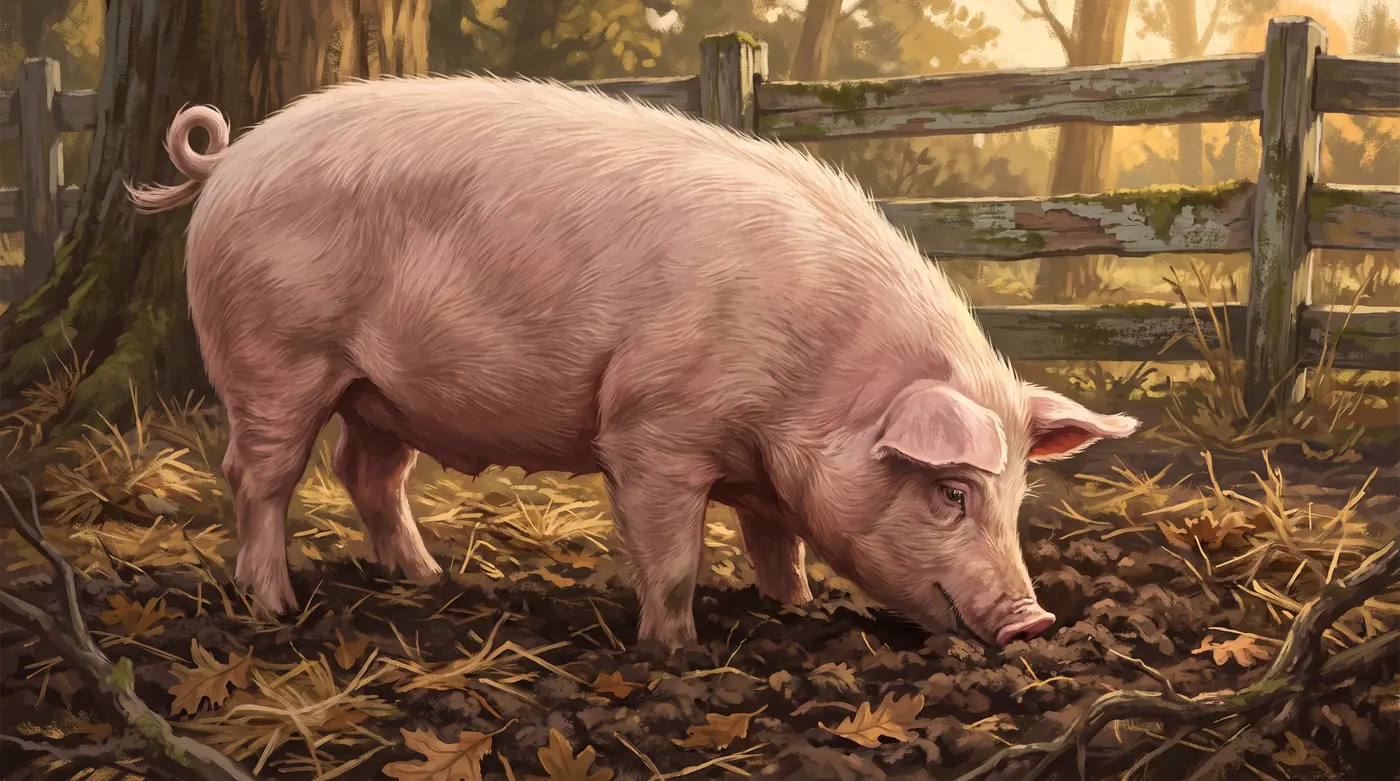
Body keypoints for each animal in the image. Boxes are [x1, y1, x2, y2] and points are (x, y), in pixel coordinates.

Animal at [126, 75, 1140, 652]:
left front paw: (797, 610)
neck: (817, 384)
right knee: (259, 473)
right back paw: (274, 607)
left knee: (365, 471)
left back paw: (430, 581)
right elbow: (675, 554)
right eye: (951, 490)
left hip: (381, 389)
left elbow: (776, 541)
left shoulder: (764, 470)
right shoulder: (653, 432)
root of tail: (229, 162)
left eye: (1018, 496)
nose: (1035, 620)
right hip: (277, 355)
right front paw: (675, 650)